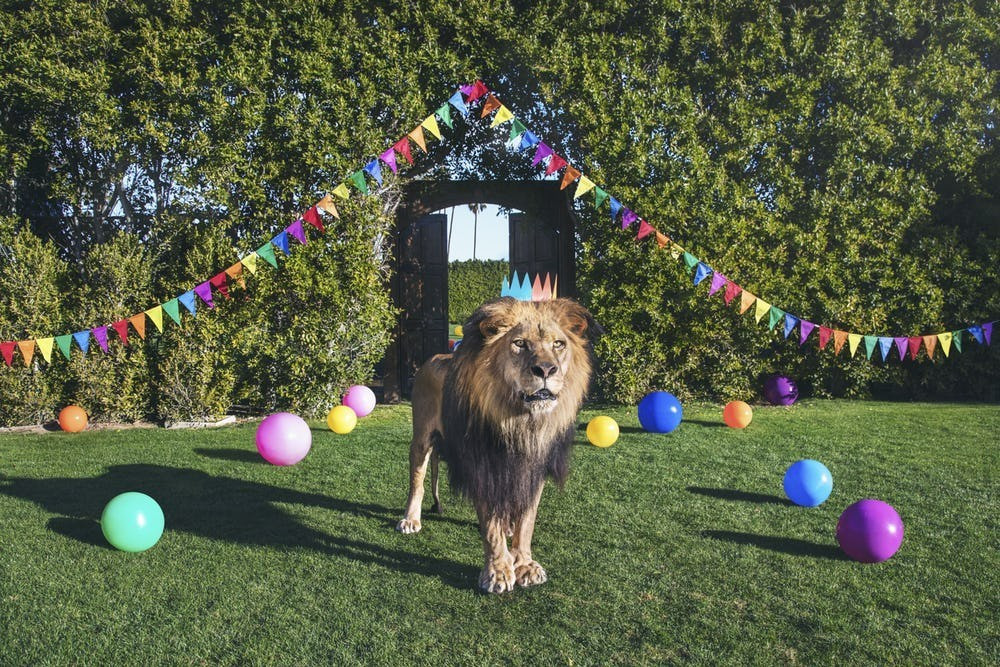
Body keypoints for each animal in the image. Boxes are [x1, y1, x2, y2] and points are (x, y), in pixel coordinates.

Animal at [398, 298, 600, 596]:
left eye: (558, 344)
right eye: (519, 343)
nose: (546, 370)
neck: (518, 421)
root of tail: (435, 357)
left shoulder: (533, 468)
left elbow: (527, 520)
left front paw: (524, 564)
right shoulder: (483, 465)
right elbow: (491, 525)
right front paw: (498, 572)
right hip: (421, 439)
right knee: (418, 481)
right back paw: (411, 519)